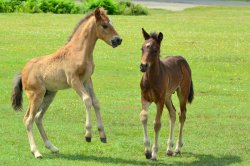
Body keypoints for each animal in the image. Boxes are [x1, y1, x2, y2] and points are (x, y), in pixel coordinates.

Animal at [10, 7, 122, 158]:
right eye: (104, 25)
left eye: (112, 23)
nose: (118, 40)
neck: (79, 51)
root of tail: (23, 72)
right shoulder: (74, 80)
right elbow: (87, 100)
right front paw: (88, 135)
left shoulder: (87, 80)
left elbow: (96, 102)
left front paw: (102, 135)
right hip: (36, 95)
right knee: (28, 119)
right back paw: (36, 152)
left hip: (49, 94)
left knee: (38, 117)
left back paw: (52, 147)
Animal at [140, 27, 194, 160]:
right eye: (142, 48)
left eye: (155, 50)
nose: (143, 66)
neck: (152, 79)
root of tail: (183, 60)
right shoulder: (144, 98)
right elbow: (143, 117)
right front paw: (147, 151)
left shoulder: (159, 100)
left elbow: (157, 123)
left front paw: (154, 153)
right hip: (168, 96)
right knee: (173, 113)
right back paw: (169, 149)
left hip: (182, 93)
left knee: (182, 115)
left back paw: (177, 149)